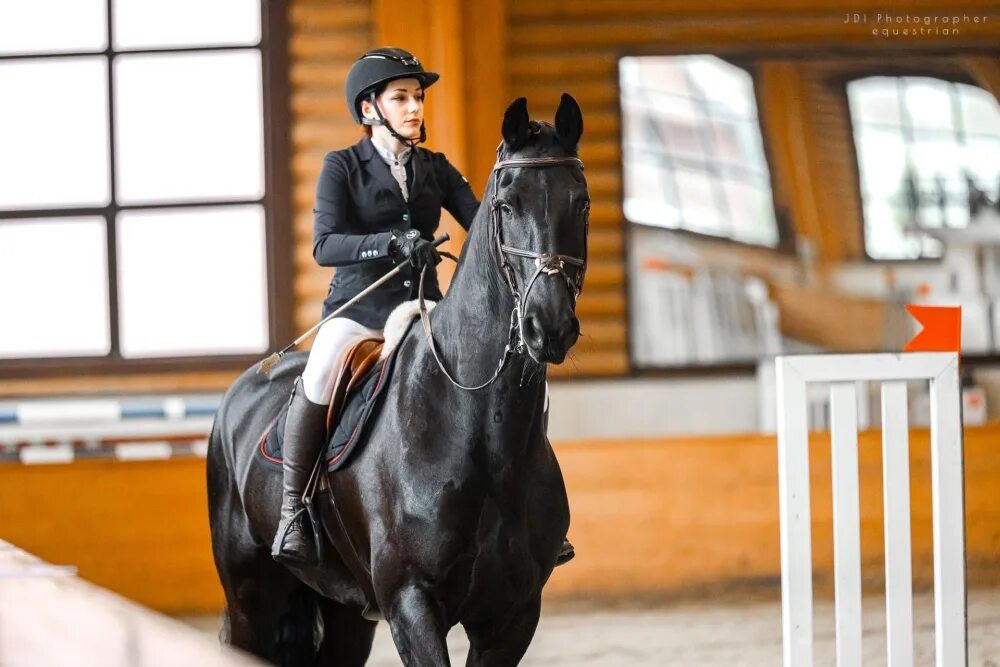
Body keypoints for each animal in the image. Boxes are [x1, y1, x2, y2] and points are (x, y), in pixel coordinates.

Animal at [209, 95, 584, 667]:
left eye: (581, 202)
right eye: (506, 205)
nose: (550, 325)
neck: (478, 427)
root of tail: (242, 389)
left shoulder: (512, 615)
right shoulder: (411, 601)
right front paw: (411, 246)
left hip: (343, 610)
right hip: (251, 599)